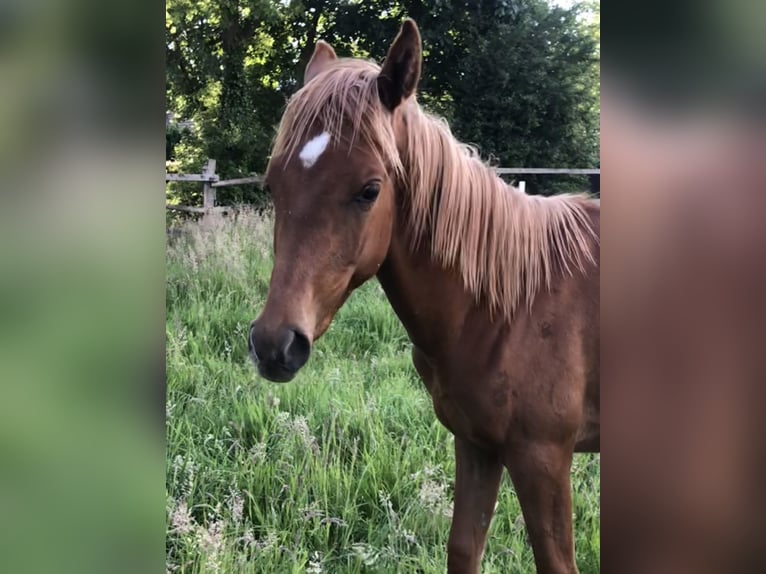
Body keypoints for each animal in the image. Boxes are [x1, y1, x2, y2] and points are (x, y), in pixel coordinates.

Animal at [249, 19, 604, 574]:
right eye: (272, 184)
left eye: (369, 190)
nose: (274, 345)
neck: (508, 309)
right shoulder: (477, 445)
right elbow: (463, 548)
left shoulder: (543, 457)